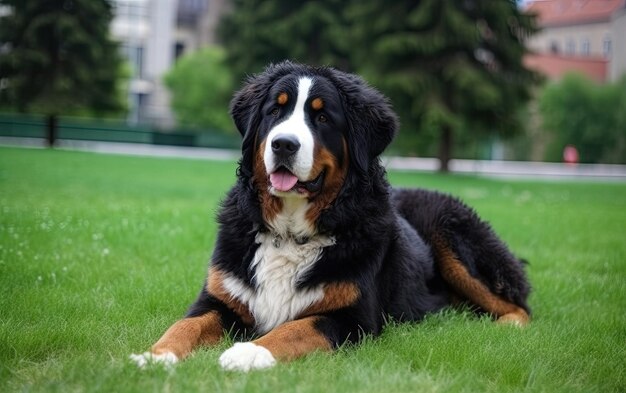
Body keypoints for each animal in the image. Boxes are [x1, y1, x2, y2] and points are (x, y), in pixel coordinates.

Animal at [129, 60, 528, 370]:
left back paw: (504, 327)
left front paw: (247, 353)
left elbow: (293, 329)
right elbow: (186, 325)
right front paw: (154, 357)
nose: (283, 144)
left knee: (520, 304)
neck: (290, 232)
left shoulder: (351, 319)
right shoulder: (220, 299)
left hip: (451, 234)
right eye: (275, 110)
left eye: (321, 117)